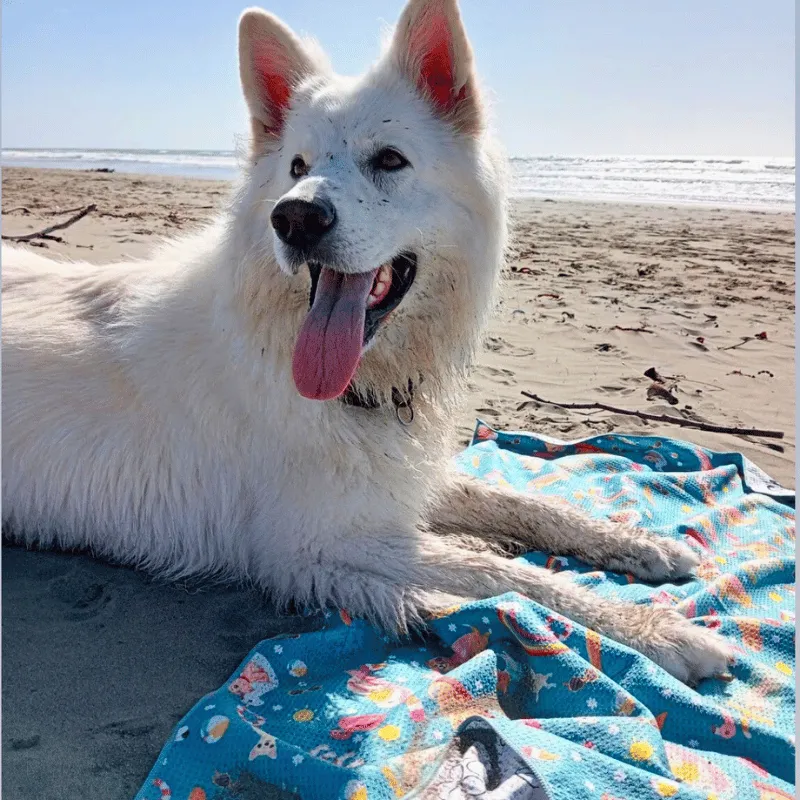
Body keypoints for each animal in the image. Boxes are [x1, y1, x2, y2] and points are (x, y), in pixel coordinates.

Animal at [3, 1, 732, 688]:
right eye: (296, 167)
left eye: (389, 160)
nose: (294, 217)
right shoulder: (318, 538)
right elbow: (510, 579)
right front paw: (659, 631)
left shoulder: (398, 476)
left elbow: (523, 502)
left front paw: (641, 547)